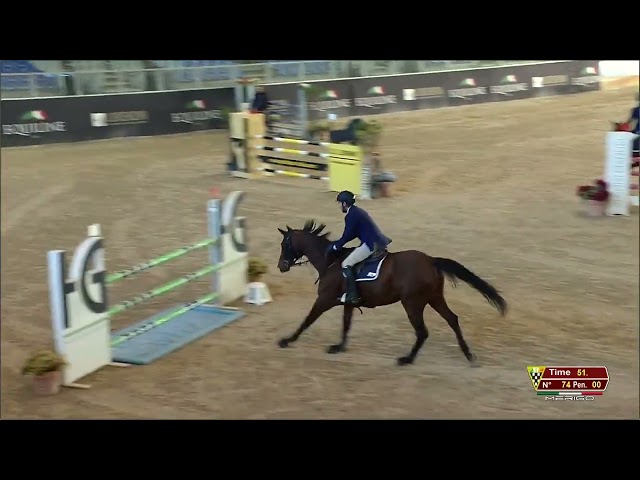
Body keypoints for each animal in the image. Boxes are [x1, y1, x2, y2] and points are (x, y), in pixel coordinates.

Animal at [276, 220, 507, 366]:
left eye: (284, 244)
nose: (281, 266)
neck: (331, 261)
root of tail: (431, 260)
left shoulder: (324, 299)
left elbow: (307, 320)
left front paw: (287, 340)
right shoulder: (348, 303)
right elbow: (346, 324)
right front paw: (339, 347)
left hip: (412, 303)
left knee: (423, 332)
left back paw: (407, 359)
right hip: (434, 298)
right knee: (452, 319)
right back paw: (468, 355)